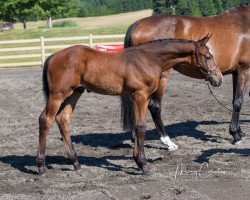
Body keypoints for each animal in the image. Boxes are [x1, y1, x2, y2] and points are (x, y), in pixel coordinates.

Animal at [36, 35, 222, 175]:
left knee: (63, 120)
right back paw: (41, 166)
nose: (218, 79)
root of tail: (52, 57)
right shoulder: (140, 95)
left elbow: (138, 127)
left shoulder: (139, 97)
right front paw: (143, 164)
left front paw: (138, 161)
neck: (148, 59)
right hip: (58, 95)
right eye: (208, 56)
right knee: (45, 120)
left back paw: (75, 162)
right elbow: (140, 127)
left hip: (75, 93)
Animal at [124, 3, 250, 147]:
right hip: (161, 77)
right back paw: (167, 141)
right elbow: (238, 101)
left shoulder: (236, 72)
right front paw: (235, 135)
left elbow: (235, 99)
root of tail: (137, 24)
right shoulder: (244, 70)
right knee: (154, 106)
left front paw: (239, 132)